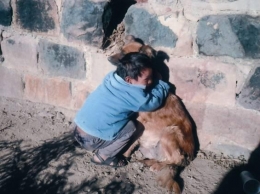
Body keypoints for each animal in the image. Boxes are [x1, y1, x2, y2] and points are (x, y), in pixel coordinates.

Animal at [107, 35, 195, 193]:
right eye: (121, 50)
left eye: (124, 55)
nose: (108, 58)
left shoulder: (140, 124)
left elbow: (130, 142)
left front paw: (123, 155)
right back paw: (148, 162)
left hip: (170, 131)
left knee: (174, 160)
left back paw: (156, 165)